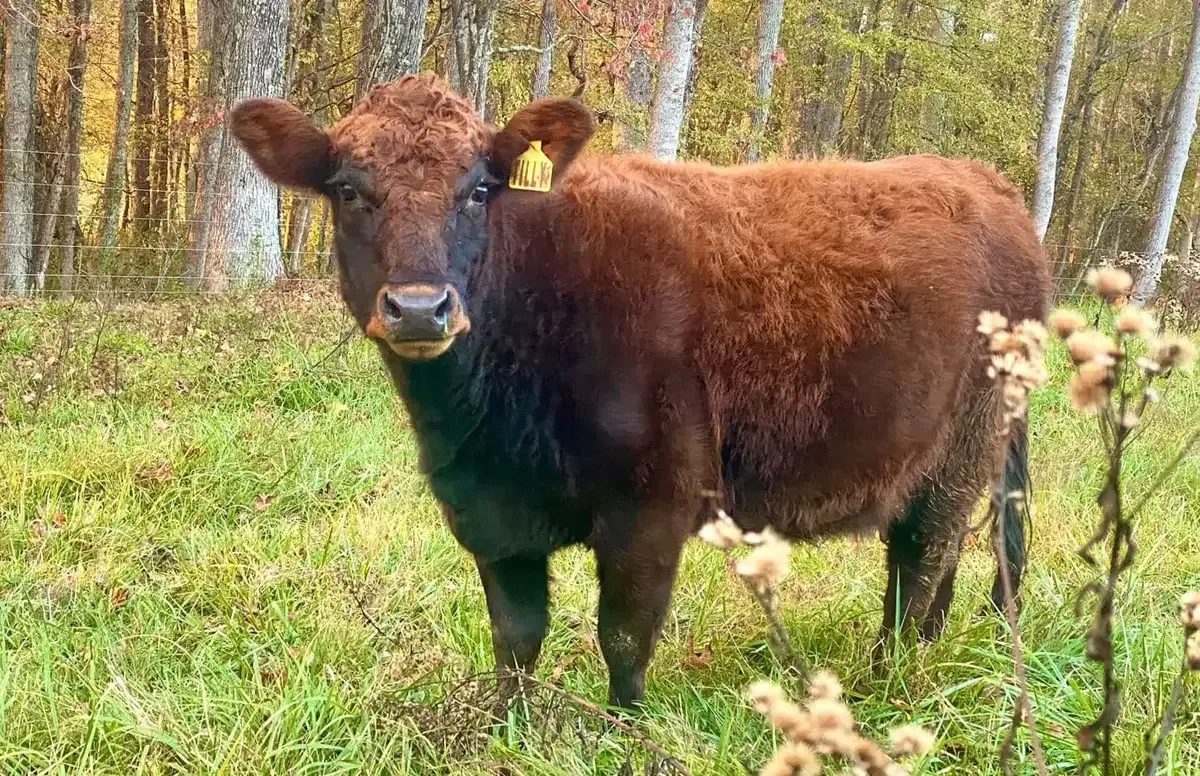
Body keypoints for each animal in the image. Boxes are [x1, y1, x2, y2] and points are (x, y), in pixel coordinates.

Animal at [229, 74, 1051, 710]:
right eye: (347, 190)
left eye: (480, 190)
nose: (420, 307)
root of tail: (988, 183)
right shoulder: (490, 513)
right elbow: (515, 637)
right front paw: (506, 730)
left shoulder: (654, 504)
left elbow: (623, 635)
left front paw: (624, 731)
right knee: (933, 570)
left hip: (962, 450)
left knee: (922, 565)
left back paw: (890, 685)